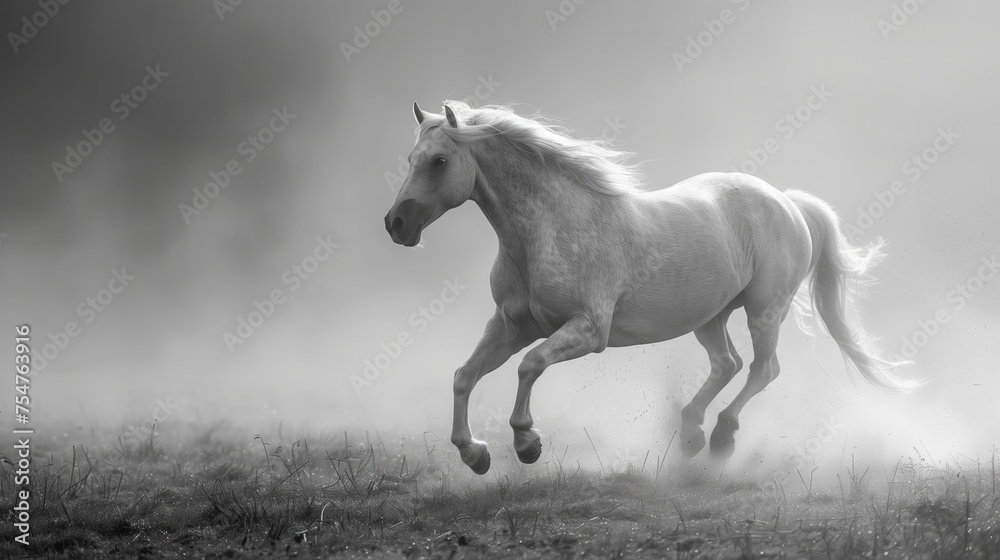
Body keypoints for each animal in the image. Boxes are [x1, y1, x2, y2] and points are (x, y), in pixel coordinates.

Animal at [384, 100, 920, 475]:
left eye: (438, 160)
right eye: (409, 157)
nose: (396, 224)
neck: (546, 229)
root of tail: (786, 202)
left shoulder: (588, 330)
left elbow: (529, 366)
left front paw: (527, 443)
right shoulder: (511, 325)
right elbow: (464, 375)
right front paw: (474, 455)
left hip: (765, 310)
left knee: (763, 370)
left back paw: (721, 437)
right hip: (709, 316)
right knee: (728, 364)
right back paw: (691, 433)